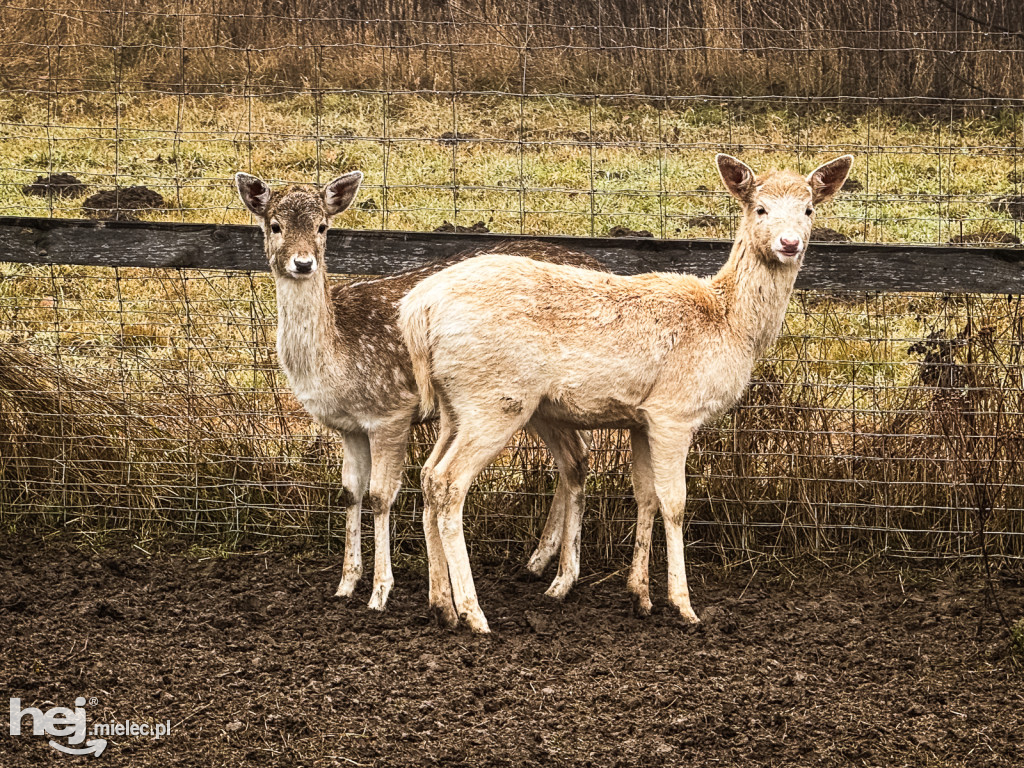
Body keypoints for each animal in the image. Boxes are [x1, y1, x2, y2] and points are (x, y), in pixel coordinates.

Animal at [234, 169, 598, 614]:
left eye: (322, 226)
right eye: (275, 226)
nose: (303, 263)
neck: (335, 359)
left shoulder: (391, 412)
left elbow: (380, 496)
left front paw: (379, 592)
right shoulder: (348, 427)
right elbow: (349, 493)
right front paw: (345, 584)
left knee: (577, 456)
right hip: (535, 403)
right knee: (574, 457)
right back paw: (537, 562)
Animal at [399, 153, 856, 634]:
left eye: (809, 209)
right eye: (760, 208)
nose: (790, 243)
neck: (732, 325)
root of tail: (417, 308)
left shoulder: (641, 419)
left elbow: (646, 495)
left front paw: (640, 595)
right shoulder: (675, 411)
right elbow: (675, 502)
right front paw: (683, 605)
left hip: (454, 404)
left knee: (428, 475)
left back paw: (442, 605)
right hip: (496, 398)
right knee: (449, 481)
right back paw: (474, 613)